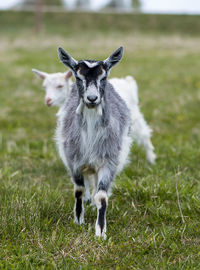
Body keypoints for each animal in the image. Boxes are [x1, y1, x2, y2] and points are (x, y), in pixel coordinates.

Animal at [55, 47, 133, 238]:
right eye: (78, 77)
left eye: (103, 77)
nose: (92, 98)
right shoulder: (74, 161)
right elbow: (79, 190)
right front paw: (78, 220)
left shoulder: (109, 160)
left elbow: (102, 196)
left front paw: (101, 232)